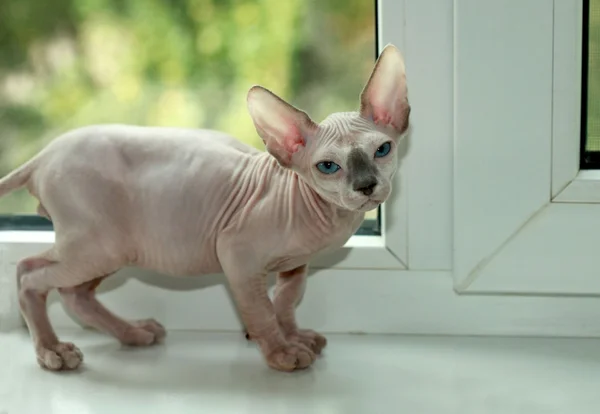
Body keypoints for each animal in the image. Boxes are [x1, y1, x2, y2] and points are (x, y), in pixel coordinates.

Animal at [0, 43, 410, 374]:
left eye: (382, 149)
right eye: (328, 166)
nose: (366, 186)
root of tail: (44, 155)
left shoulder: (295, 265)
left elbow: (286, 300)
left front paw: (294, 335)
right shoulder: (237, 255)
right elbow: (261, 309)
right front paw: (281, 352)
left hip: (109, 245)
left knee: (72, 292)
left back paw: (133, 333)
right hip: (96, 246)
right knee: (28, 274)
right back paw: (52, 351)